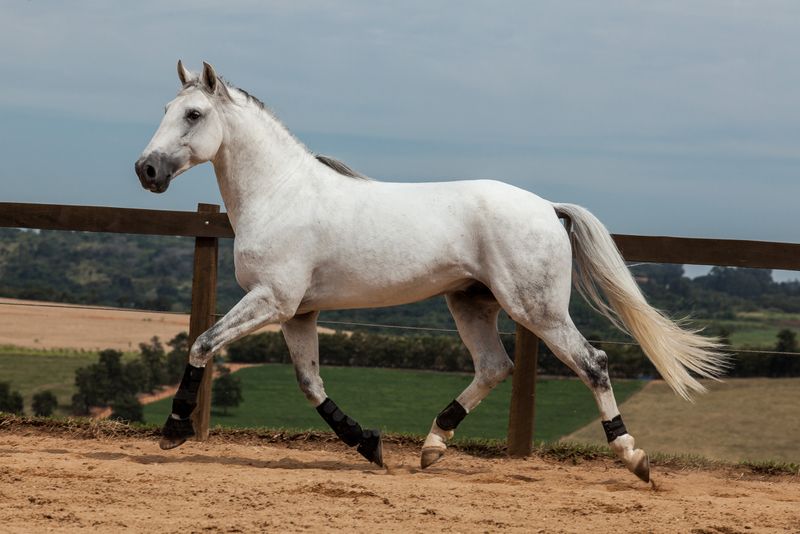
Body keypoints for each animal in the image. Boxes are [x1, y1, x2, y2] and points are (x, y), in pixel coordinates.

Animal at [135, 61, 726, 482]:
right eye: (165, 107)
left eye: (193, 115)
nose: (146, 170)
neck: (280, 193)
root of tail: (546, 208)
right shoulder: (299, 312)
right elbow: (310, 384)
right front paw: (369, 445)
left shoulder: (272, 300)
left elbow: (202, 343)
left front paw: (173, 429)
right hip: (470, 302)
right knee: (495, 366)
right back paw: (432, 446)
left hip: (535, 308)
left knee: (592, 363)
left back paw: (633, 458)